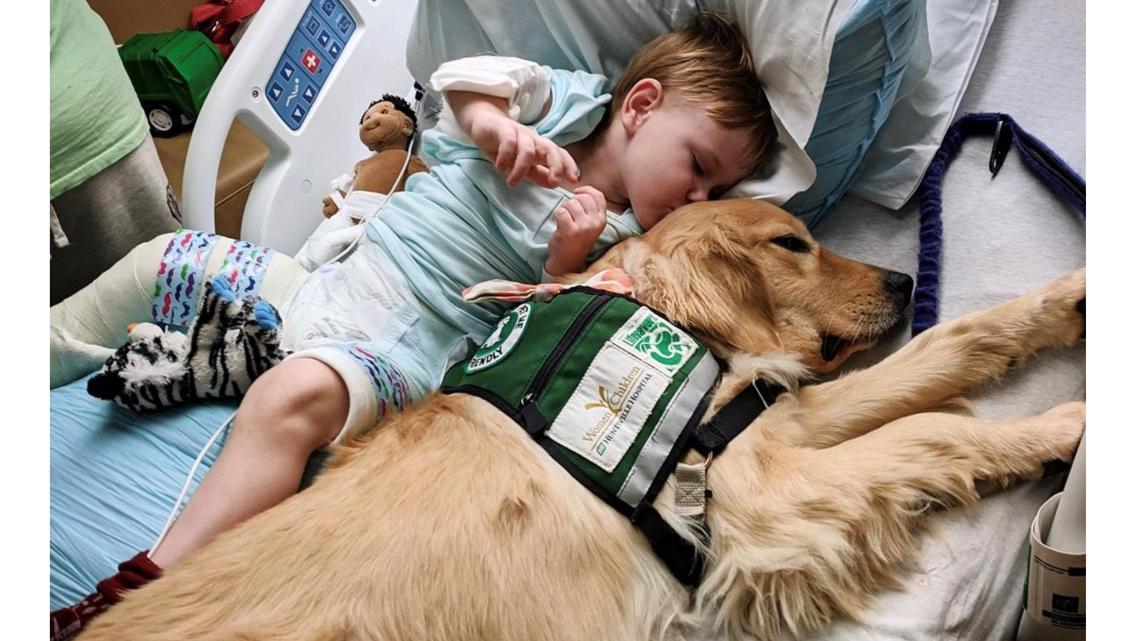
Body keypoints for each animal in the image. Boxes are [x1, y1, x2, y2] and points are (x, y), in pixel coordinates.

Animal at [82, 199, 1085, 638]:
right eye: (790, 243)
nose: (905, 277)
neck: (654, 312)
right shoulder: (769, 500)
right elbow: (941, 430)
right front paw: (1064, 428)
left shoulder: (769, 429)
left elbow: (952, 346)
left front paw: (1068, 305)